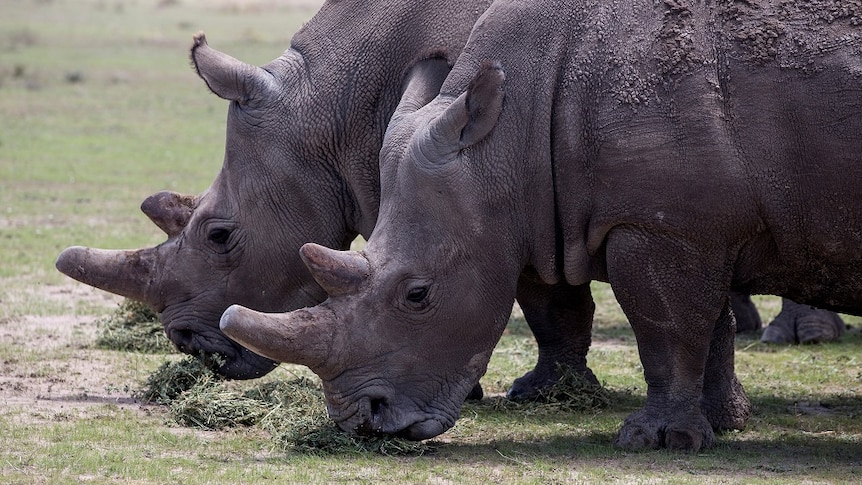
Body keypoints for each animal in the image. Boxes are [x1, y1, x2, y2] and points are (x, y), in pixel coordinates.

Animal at [221, 0, 862, 450]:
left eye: (418, 295)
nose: (364, 422)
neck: (507, 132)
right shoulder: (614, 215)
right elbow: (646, 317)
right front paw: (713, 426)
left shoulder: (666, 226)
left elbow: (668, 327)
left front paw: (658, 440)